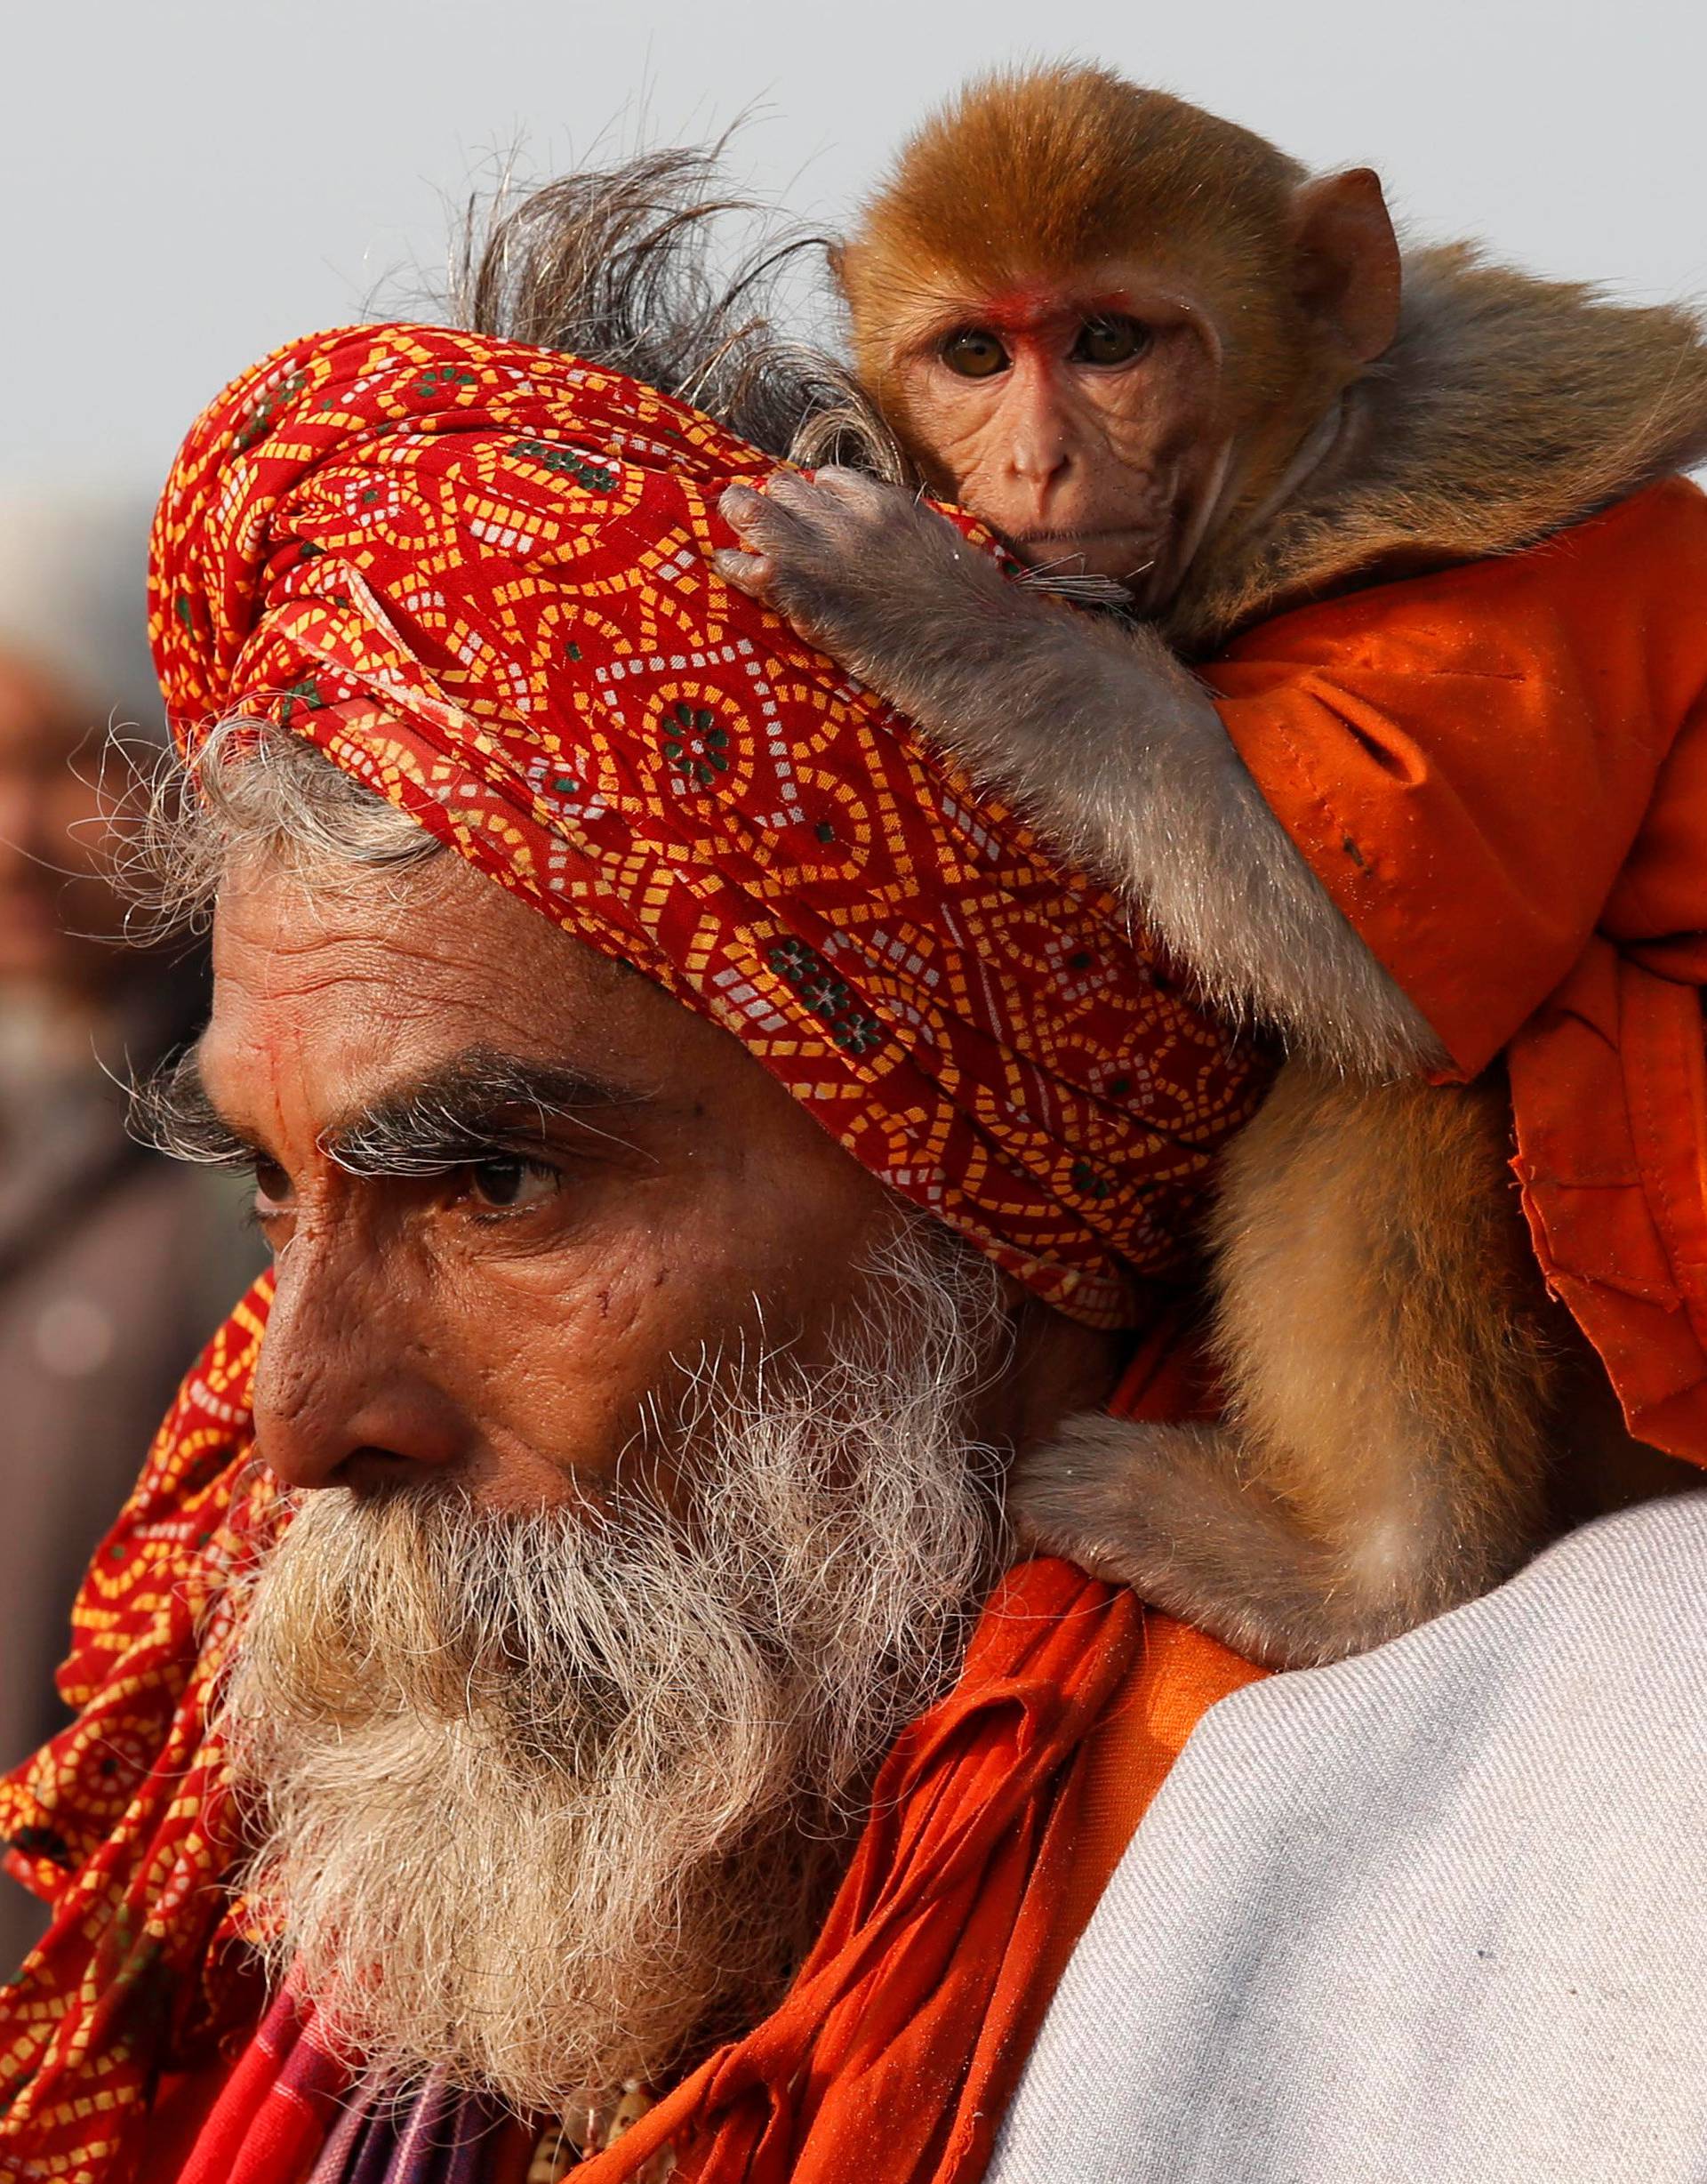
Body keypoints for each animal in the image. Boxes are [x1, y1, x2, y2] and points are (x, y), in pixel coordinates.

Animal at [716, 68, 1707, 1668]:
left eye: (1111, 343)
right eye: (975, 352)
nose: (1040, 461)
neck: (1315, 460)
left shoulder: (1524, 630)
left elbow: (1354, 963)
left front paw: (932, 605)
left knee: (1412, 1071)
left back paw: (1359, 1574)